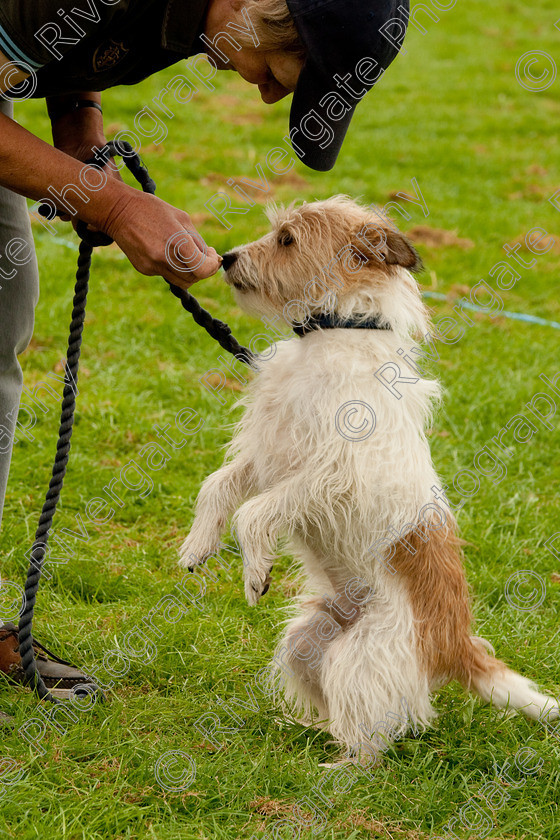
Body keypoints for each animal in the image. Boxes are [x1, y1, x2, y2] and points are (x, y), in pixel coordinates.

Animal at [180, 197, 560, 760]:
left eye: (287, 239)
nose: (225, 258)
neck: (336, 330)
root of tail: (456, 647)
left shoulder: (330, 471)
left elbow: (253, 512)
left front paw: (254, 570)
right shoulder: (271, 453)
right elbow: (218, 485)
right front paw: (198, 544)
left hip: (360, 659)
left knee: (373, 743)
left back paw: (339, 768)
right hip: (307, 644)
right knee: (337, 709)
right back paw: (308, 730)